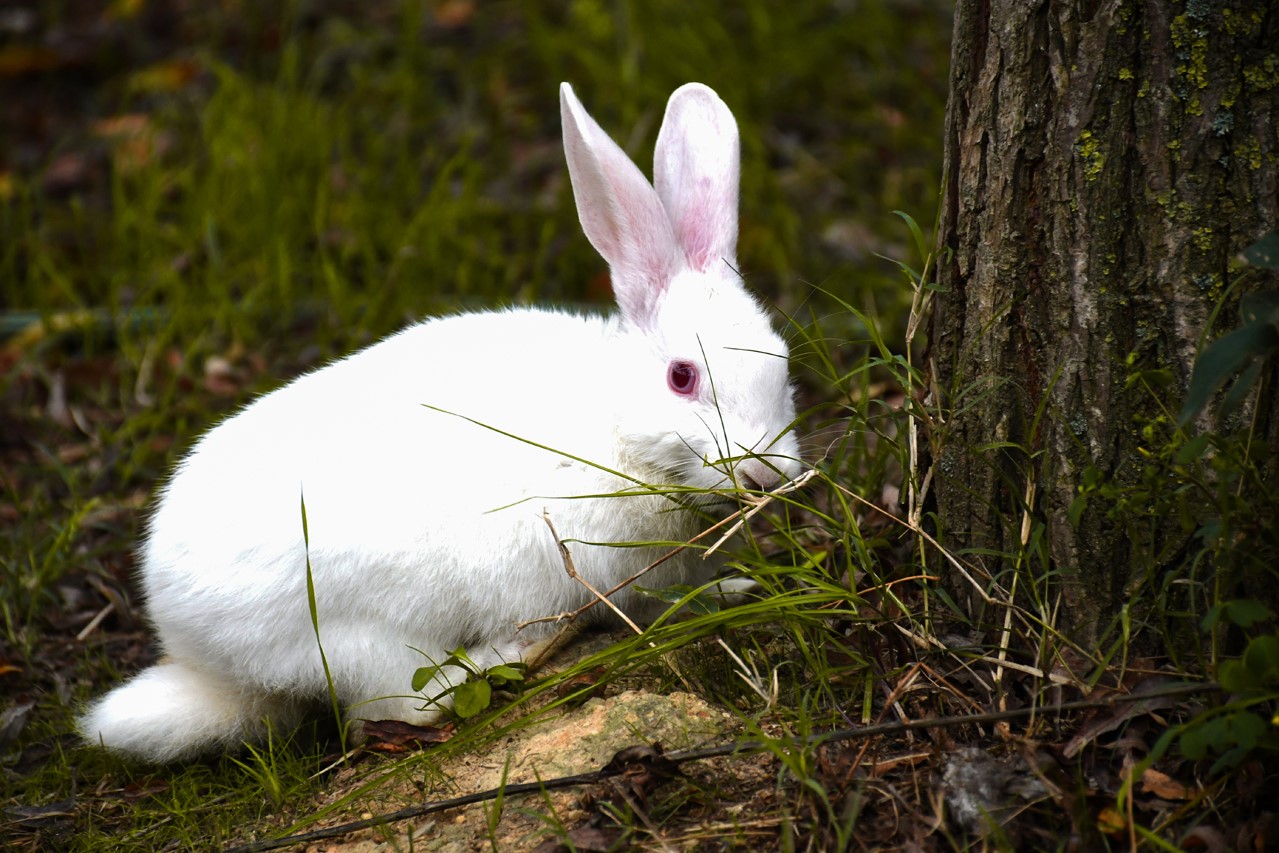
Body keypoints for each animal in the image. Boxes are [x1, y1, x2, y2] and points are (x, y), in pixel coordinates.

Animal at [77, 83, 798, 762]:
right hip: (366, 633)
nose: (767, 475)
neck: (617, 426)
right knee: (398, 707)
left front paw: (735, 587)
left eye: (783, 363)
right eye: (682, 377)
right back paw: (503, 659)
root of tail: (200, 654)